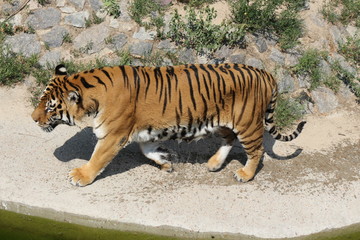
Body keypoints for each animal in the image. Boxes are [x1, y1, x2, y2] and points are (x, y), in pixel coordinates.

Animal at [31, 62, 306, 187]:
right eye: (41, 100)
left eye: (50, 107)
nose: (33, 119)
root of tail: (266, 73)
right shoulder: (144, 131)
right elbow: (147, 151)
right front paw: (165, 162)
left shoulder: (113, 135)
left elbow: (98, 157)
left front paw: (81, 176)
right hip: (224, 121)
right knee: (229, 139)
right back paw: (214, 164)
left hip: (247, 124)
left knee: (257, 150)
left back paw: (245, 175)